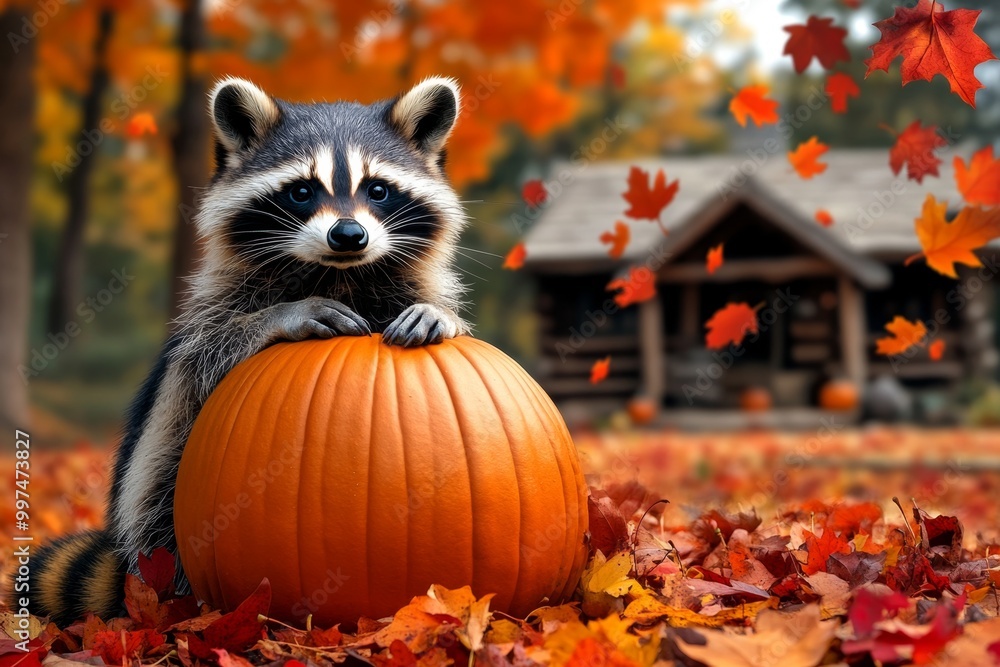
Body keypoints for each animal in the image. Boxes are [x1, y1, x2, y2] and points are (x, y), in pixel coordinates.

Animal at [23, 76, 470, 625]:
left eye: (378, 189)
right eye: (302, 191)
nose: (348, 235)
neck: (338, 274)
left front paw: (442, 315)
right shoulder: (213, 310)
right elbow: (208, 353)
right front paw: (281, 316)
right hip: (156, 500)